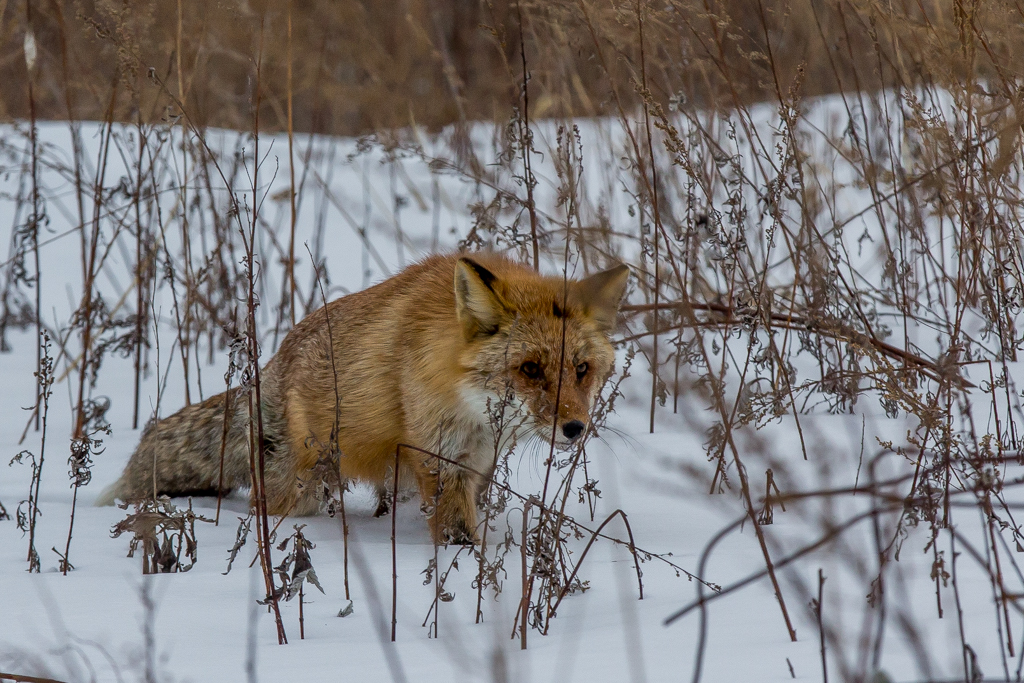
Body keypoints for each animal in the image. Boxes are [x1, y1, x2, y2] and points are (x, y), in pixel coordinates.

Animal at [103, 250, 630, 544]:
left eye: (581, 370)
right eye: (530, 370)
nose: (575, 428)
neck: (473, 411)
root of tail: (273, 365)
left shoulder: (476, 461)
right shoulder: (440, 457)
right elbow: (458, 534)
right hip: (299, 488)